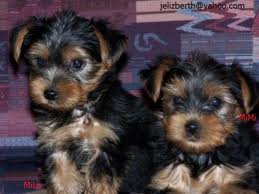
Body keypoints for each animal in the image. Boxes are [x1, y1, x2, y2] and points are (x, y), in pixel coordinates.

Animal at [10, 11, 167, 194]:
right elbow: (63, 179)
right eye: (40, 61)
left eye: (77, 63)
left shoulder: (105, 149)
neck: (80, 109)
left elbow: (101, 183)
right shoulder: (59, 146)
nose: (49, 93)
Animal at [141, 52, 259, 194]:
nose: (191, 126)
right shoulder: (164, 181)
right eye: (177, 100)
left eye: (215, 102)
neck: (198, 155)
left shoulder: (236, 180)